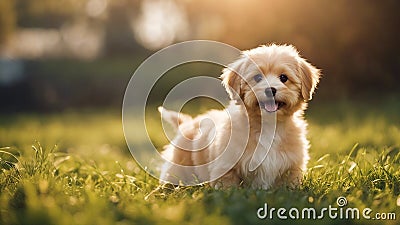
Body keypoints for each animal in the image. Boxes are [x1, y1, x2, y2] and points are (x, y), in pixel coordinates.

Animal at [158, 43, 320, 188]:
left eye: (283, 78)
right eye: (257, 78)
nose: (270, 90)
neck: (267, 126)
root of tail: (188, 123)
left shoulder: (292, 167)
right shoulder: (226, 166)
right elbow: (229, 188)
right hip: (179, 165)